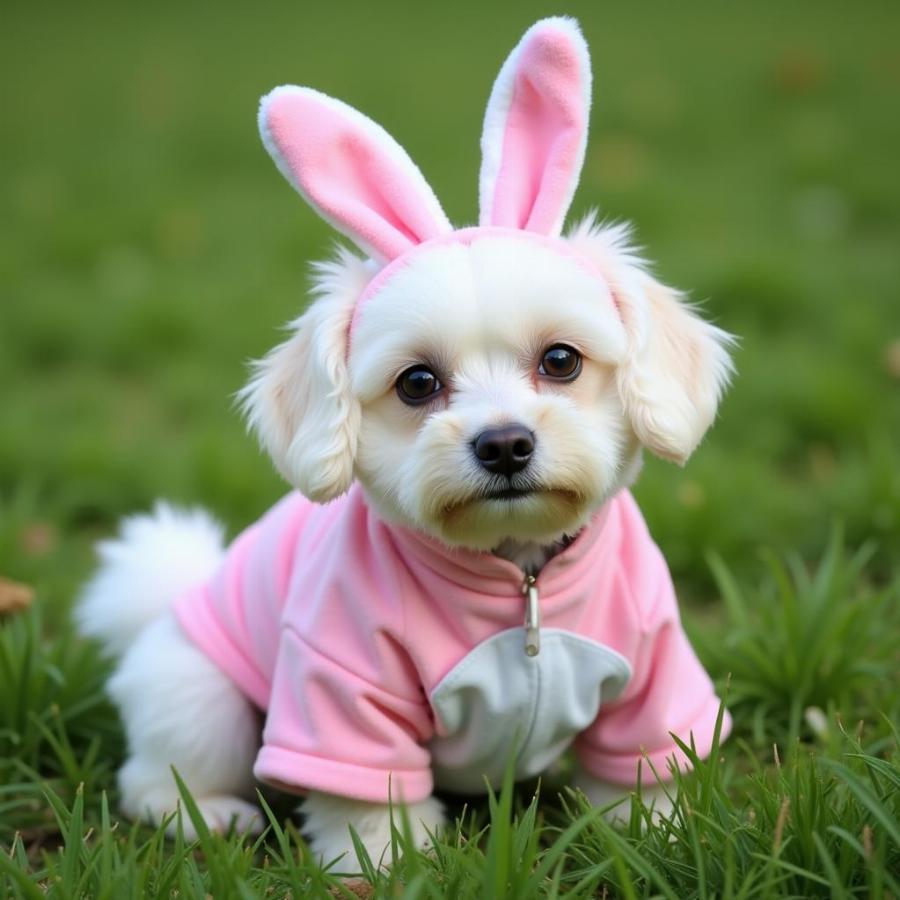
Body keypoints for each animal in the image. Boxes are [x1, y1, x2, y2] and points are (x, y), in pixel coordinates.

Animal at [77, 17, 736, 868]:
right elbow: (371, 799)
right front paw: (386, 862)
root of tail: (166, 603)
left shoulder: (655, 669)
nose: (504, 445)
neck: (519, 579)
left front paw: (654, 836)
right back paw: (211, 815)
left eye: (561, 361)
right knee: (157, 776)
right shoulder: (340, 688)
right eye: (417, 383)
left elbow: (644, 770)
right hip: (198, 697)